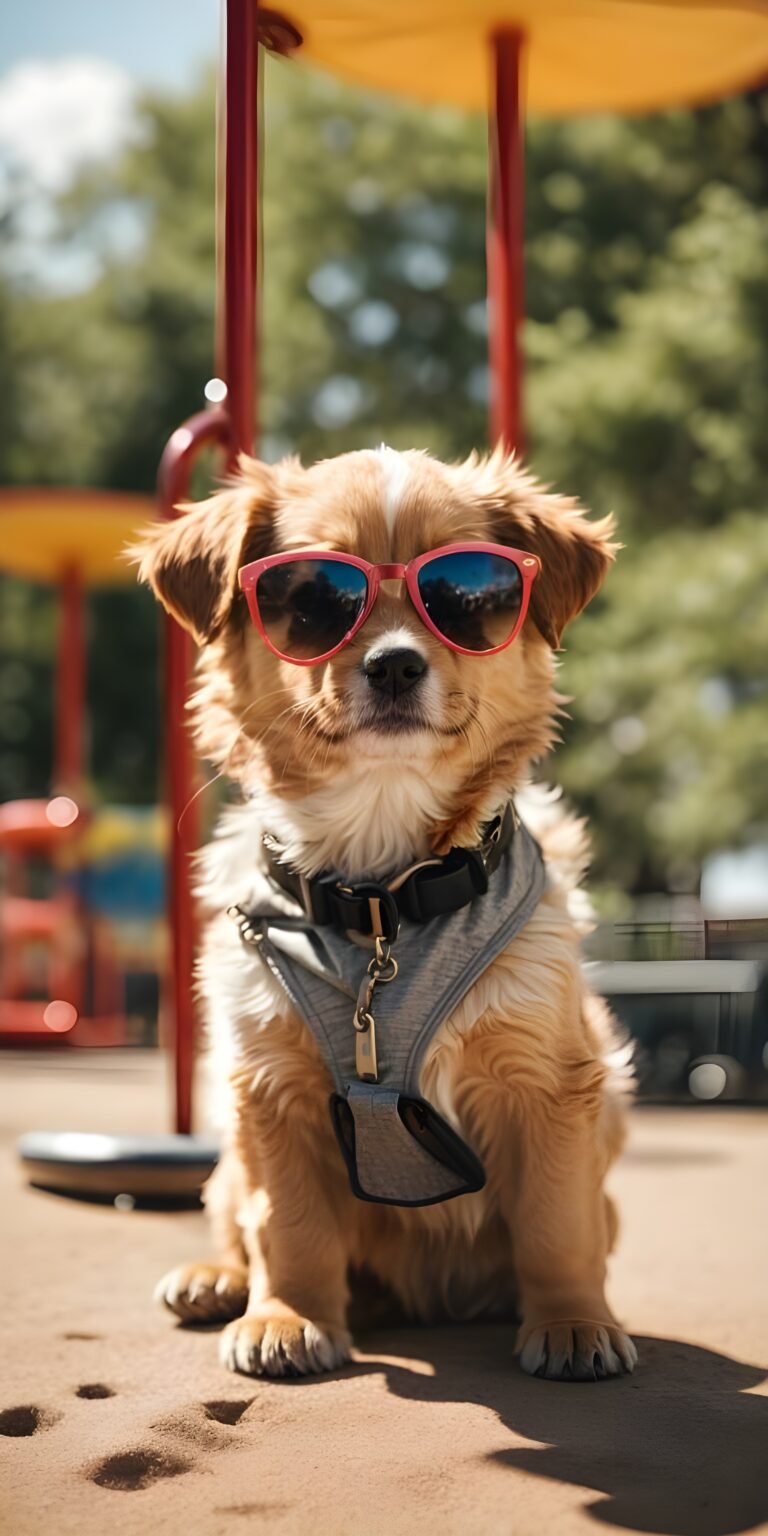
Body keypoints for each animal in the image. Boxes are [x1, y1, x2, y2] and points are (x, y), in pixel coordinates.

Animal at [133, 442, 635, 1382]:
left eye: (468, 597)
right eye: (310, 599)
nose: (396, 663)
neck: (381, 897)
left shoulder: (550, 1083)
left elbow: (559, 1223)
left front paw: (574, 1323)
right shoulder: (270, 1085)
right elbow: (286, 1223)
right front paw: (288, 1317)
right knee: (231, 1212)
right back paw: (218, 1279)